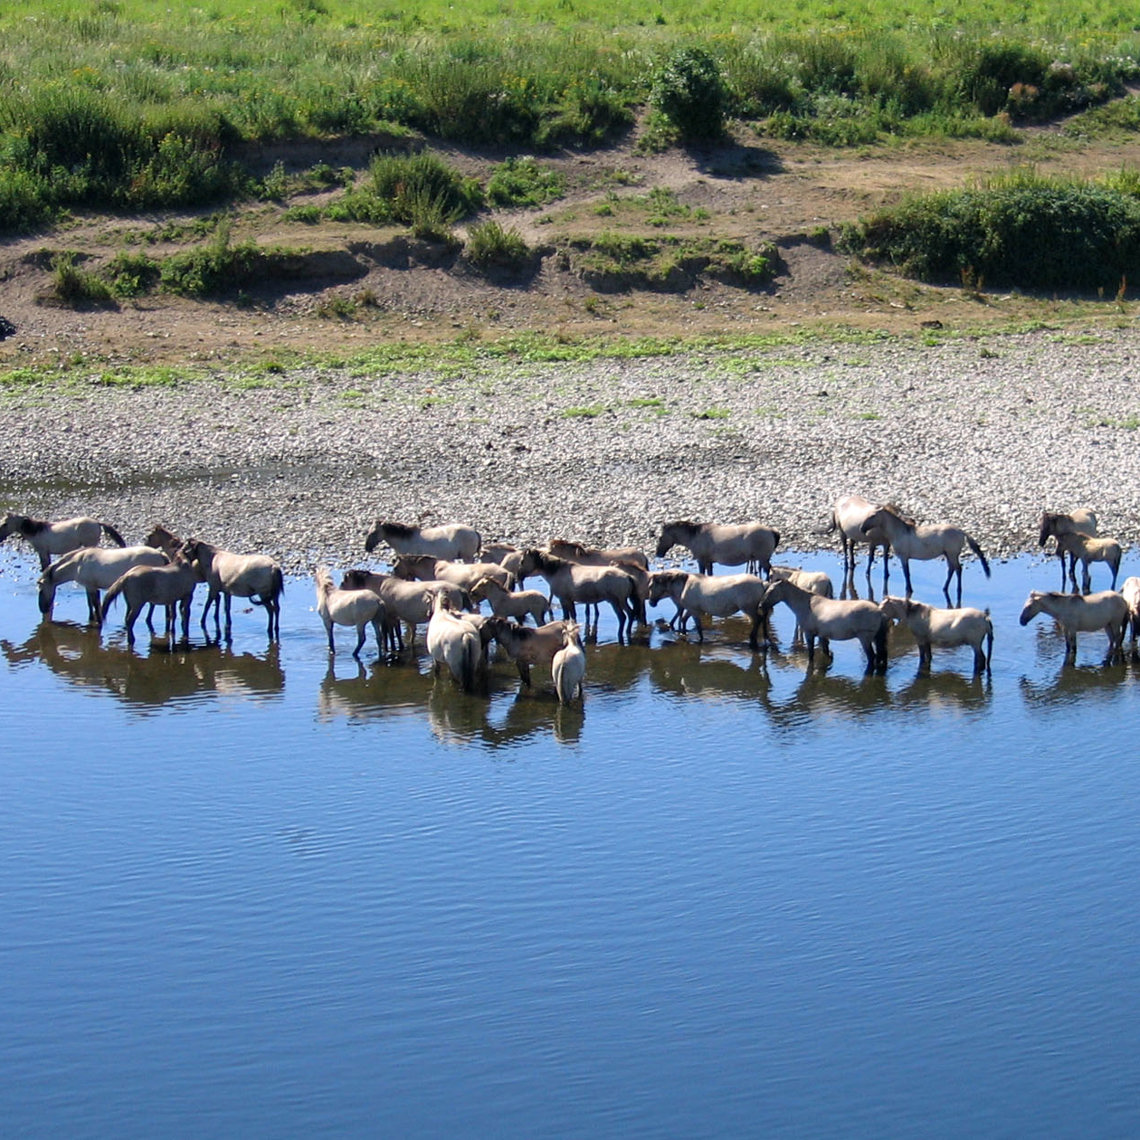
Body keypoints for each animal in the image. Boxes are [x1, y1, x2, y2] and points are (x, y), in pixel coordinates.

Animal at [37, 544, 168, 624]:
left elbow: (95, 604)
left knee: (152, 604)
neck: (78, 563)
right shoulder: (90, 586)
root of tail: (160, 554)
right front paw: (91, 619)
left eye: (41, 590)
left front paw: (99, 621)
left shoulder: (91, 587)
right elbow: (90, 604)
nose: (43, 609)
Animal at [857, 503, 989, 601]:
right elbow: (907, 573)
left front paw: (909, 589)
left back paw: (958, 589)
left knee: (958, 569)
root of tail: (961, 531)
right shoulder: (905, 558)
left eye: (873, 515)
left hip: (952, 554)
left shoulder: (903, 557)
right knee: (951, 569)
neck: (899, 532)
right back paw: (945, 588)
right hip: (948, 554)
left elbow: (906, 574)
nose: (862, 528)